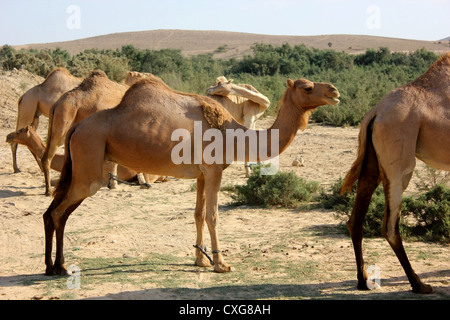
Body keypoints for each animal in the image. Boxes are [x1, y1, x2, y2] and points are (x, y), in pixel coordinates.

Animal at [42, 77, 340, 276]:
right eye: (307, 87)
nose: (334, 91)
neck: (234, 135)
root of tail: (77, 128)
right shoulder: (214, 170)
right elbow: (213, 215)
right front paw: (221, 263)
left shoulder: (201, 174)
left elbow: (197, 214)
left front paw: (200, 259)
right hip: (89, 165)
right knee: (59, 212)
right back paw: (61, 266)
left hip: (81, 165)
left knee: (53, 212)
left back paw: (51, 266)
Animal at [342, 52, 450, 296]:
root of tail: (375, 112)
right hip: (400, 166)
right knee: (390, 225)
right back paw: (418, 284)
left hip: (372, 161)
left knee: (356, 220)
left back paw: (363, 280)